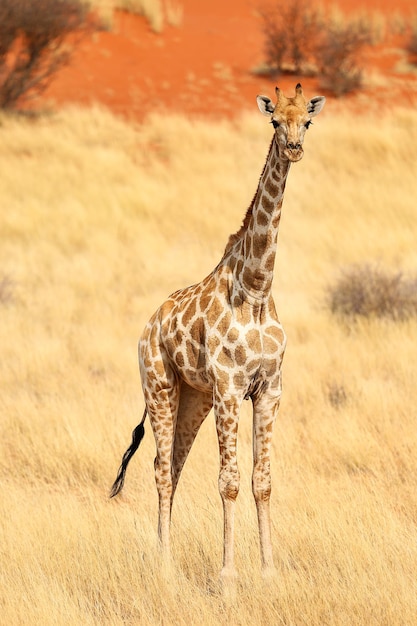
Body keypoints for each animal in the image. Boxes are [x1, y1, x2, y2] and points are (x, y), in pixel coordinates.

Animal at [111, 84, 324, 580]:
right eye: (274, 121)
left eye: (306, 120)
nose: (293, 147)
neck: (257, 288)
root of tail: (148, 326)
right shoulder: (230, 386)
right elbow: (229, 482)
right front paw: (227, 577)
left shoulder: (269, 388)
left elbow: (262, 481)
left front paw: (267, 573)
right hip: (160, 387)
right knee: (160, 468)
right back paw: (165, 564)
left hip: (194, 398)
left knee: (173, 463)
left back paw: (165, 555)